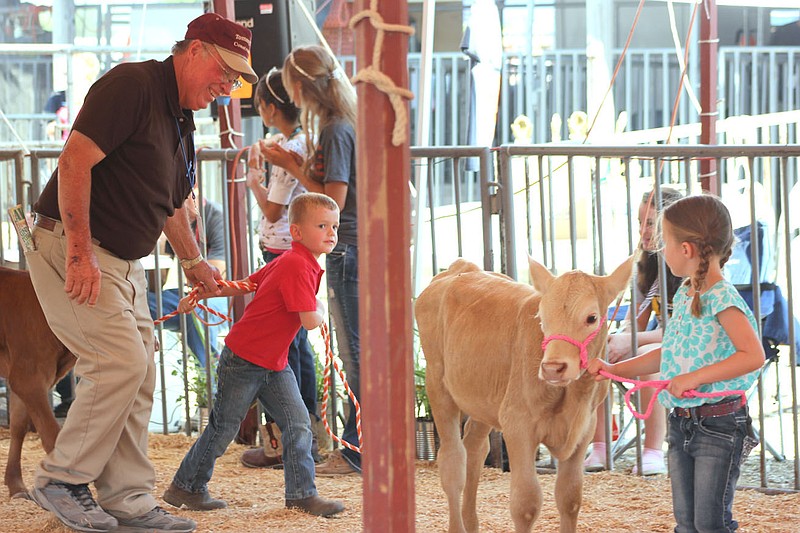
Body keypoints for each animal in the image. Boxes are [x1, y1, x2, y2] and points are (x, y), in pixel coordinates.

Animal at [416, 256, 636, 528]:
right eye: (542, 317)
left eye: (592, 317)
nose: (552, 367)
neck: (573, 397)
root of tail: (461, 268)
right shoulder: (517, 423)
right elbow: (526, 505)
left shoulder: (585, 427)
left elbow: (570, 497)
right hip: (437, 384)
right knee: (452, 462)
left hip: (482, 400)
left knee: (474, 451)